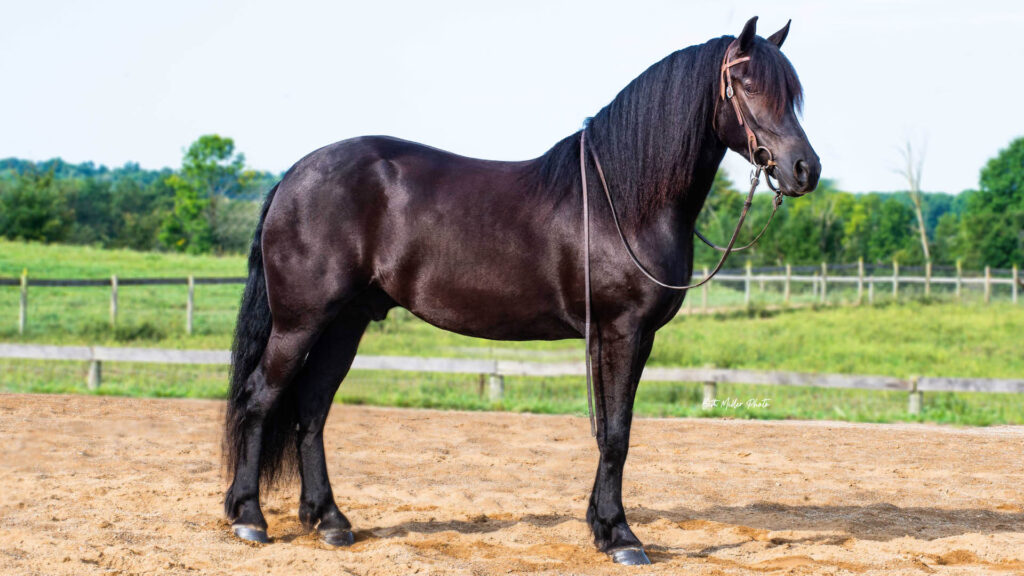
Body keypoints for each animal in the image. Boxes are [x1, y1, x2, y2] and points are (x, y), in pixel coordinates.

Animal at [226, 15, 823, 561]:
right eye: (749, 85)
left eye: (791, 94)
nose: (805, 169)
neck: (623, 201)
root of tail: (293, 175)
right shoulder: (621, 331)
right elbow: (616, 434)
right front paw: (621, 537)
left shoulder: (629, 337)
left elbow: (613, 430)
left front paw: (600, 527)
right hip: (300, 321)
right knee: (260, 399)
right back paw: (250, 518)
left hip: (345, 322)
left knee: (312, 407)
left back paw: (329, 521)